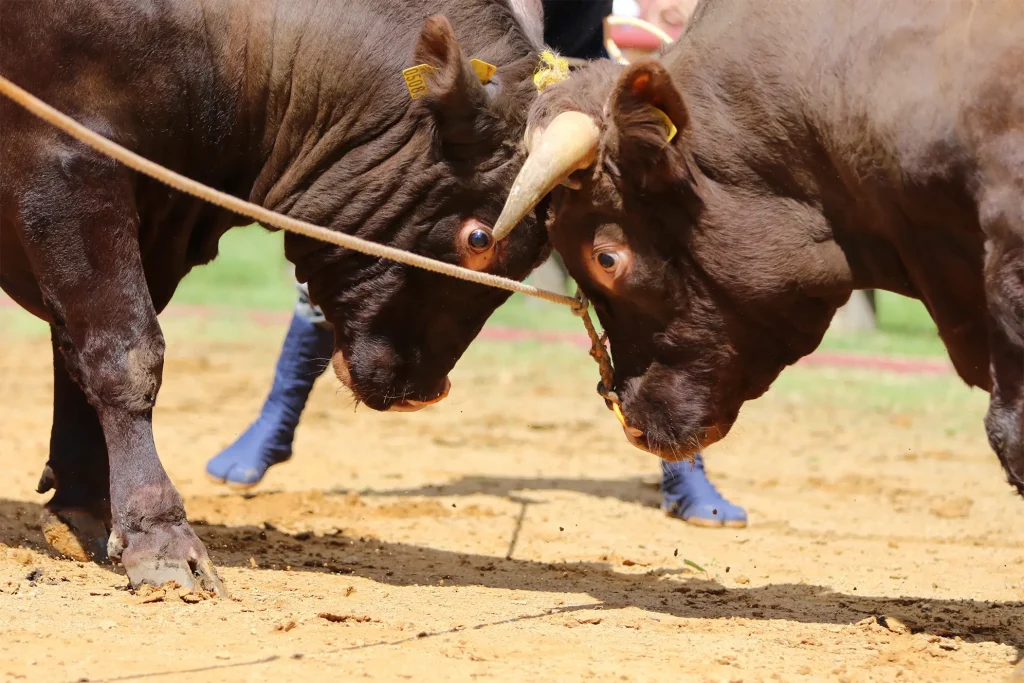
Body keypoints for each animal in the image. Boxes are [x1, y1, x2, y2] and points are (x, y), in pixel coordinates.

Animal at [0, 0, 552, 593]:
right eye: (478, 238)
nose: (424, 393)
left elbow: (77, 350)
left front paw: (82, 508)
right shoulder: (65, 161)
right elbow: (126, 353)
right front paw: (159, 536)